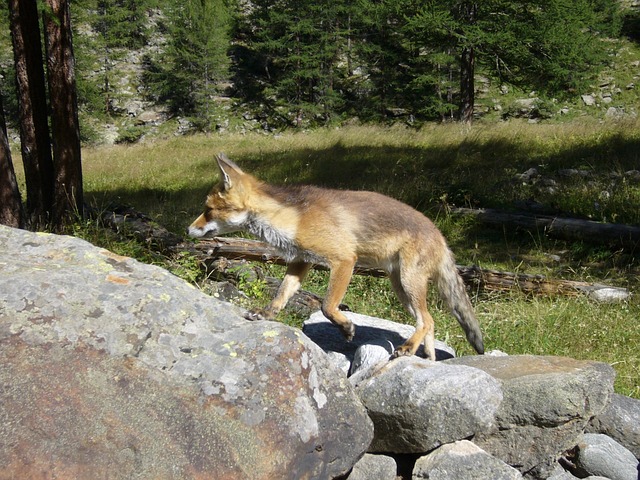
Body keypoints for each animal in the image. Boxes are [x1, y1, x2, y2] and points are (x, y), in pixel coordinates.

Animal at [188, 153, 484, 361]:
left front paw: (347, 329)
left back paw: (408, 347)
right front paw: (266, 314)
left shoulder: (344, 260)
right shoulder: (301, 261)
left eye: (208, 209)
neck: (293, 217)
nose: (188, 230)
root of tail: (440, 234)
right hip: (401, 288)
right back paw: (426, 357)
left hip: (409, 282)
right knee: (429, 321)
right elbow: (282, 294)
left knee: (428, 320)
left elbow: (327, 306)